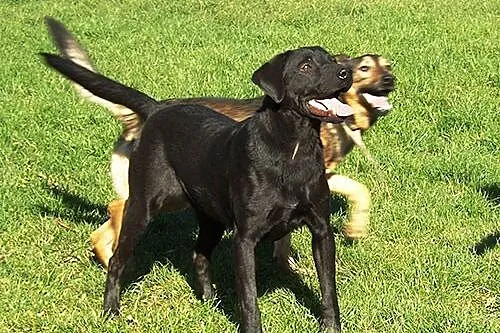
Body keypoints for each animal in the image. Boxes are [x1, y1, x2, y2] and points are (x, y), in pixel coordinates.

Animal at [43, 47, 354, 332]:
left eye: (331, 59)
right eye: (305, 66)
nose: (345, 73)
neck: (293, 148)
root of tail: (156, 109)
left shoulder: (321, 230)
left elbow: (328, 289)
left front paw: (331, 327)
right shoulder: (245, 238)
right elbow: (249, 300)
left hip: (210, 215)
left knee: (200, 255)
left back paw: (210, 301)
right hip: (144, 206)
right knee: (118, 259)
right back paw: (111, 311)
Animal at [46, 16, 394, 268]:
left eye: (388, 65)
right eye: (364, 68)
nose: (391, 80)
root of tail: (144, 113)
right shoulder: (323, 174)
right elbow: (360, 190)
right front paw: (354, 229)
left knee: (108, 218)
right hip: (161, 192)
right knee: (117, 209)